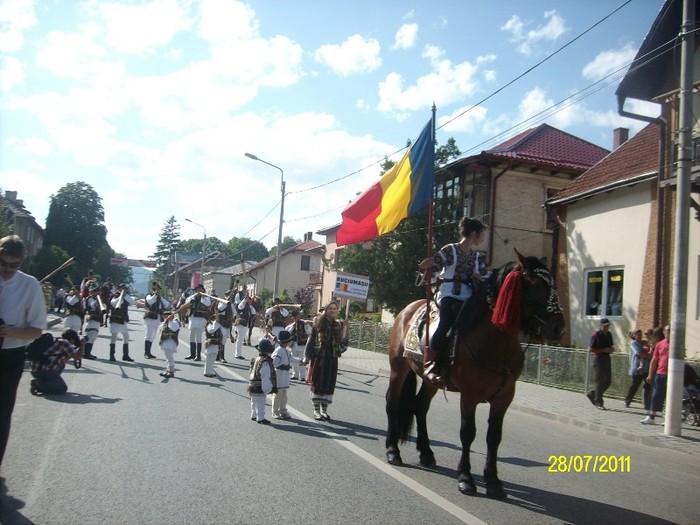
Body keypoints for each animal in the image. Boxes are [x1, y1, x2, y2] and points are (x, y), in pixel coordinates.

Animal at [386, 252, 568, 498]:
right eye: (537, 284)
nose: (559, 328)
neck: (495, 340)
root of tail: (408, 309)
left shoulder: (504, 396)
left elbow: (494, 437)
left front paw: (493, 481)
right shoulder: (469, 394)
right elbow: (468, 432)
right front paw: (466, 478)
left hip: (430, 380)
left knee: (420, 406)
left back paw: (426, 453)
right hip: (398, 368)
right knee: (393, 403)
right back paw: (392, 451)